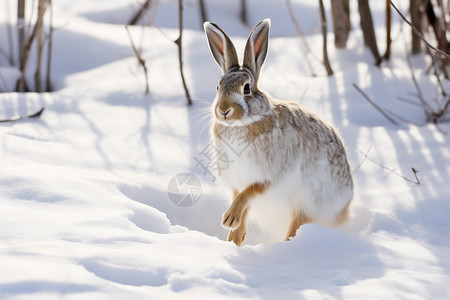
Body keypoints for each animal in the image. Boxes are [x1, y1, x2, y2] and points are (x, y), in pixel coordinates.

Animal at [202, 18, 354, 246]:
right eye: (218, 86)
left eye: (246, 88)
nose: (223, 110)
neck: (241, 124)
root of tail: (344, 209)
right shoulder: (237, 179)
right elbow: (240, 198)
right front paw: (234, 236)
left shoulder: (272, 176)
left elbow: (249, 192)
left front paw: (229, 220)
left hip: (307, 204)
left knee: (297, 226)